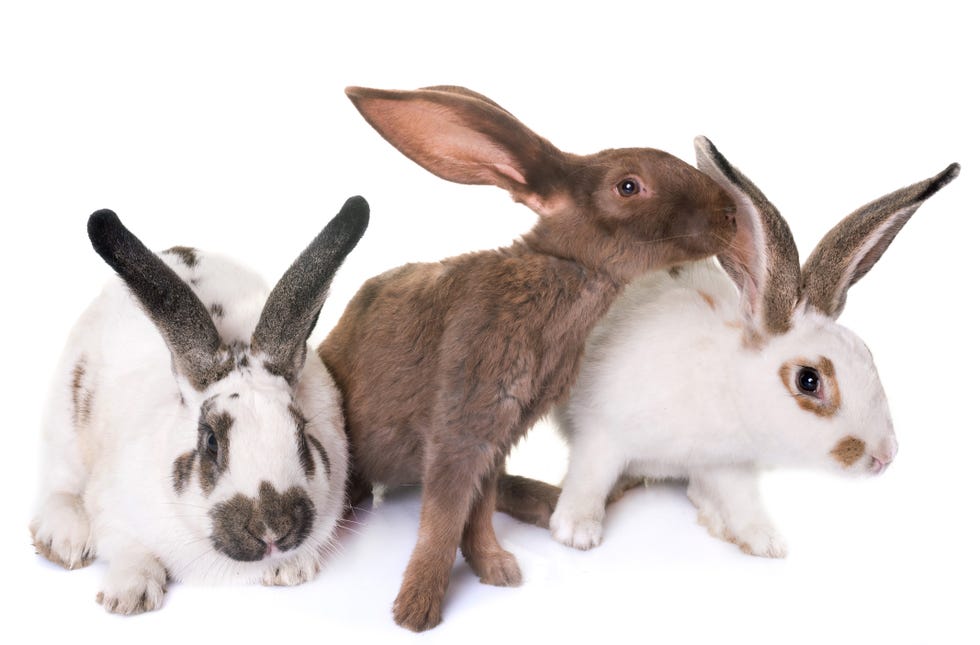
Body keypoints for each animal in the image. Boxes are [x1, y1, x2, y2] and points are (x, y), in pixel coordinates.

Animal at [30, 196, 370, 612]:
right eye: (210, 442)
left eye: (301, 433)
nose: (272, 530)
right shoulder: (112, 510)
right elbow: (129, 548)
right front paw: (129, 596)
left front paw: (290, 570)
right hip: (64, 425)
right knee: (57, 486)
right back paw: (65, 541)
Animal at [318, 84, 740, 628]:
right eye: (628, 186)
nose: (731, 214)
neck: (565, 269)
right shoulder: (465, 422)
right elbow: (444, 517)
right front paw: (417, 610)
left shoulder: (499, 435)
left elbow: (476, 511)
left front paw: (496, 568)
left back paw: (551, 501)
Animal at [536, 138, 956, 556]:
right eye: (808, 380)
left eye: (868, 353)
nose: (885, 456)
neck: (723, 380)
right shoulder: (601, 432)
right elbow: (588, 478)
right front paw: (575, 531)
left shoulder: (726, 464)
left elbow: (742, 501)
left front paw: (763, 541)